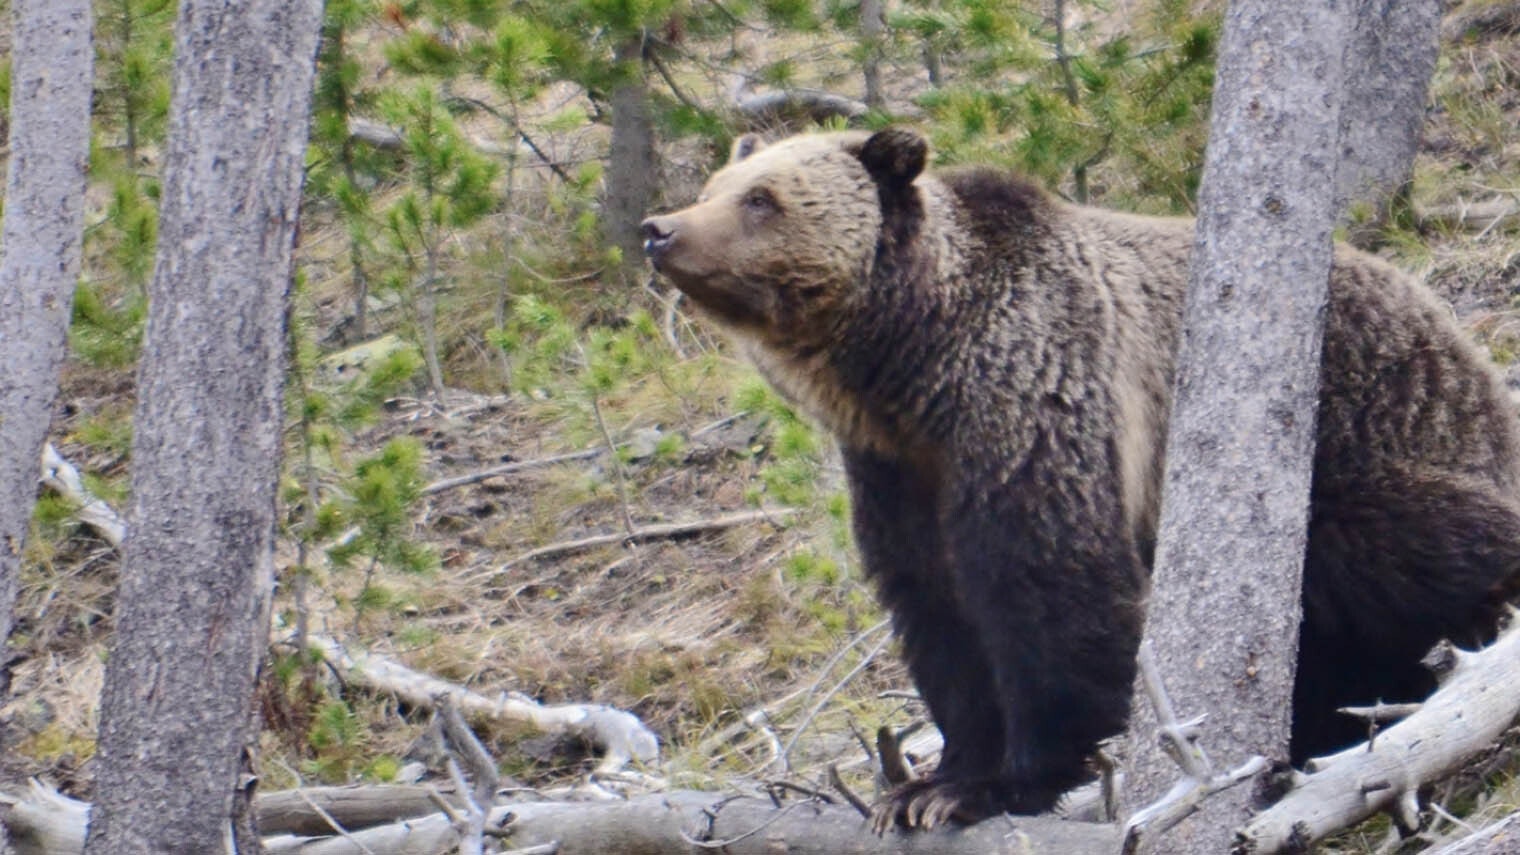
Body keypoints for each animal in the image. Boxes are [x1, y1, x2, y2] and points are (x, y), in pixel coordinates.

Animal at [640, 127, 1520, 830]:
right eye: (717, 185)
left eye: (763, 198)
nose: (659, 229)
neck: (914, 370)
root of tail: (1452, 332)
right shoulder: (900, 474)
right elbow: (937, 610)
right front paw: (926, 785)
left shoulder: (1036, 398)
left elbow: (1048, 586)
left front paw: (1005, 782)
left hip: (1364, 430)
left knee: (1407, 540)